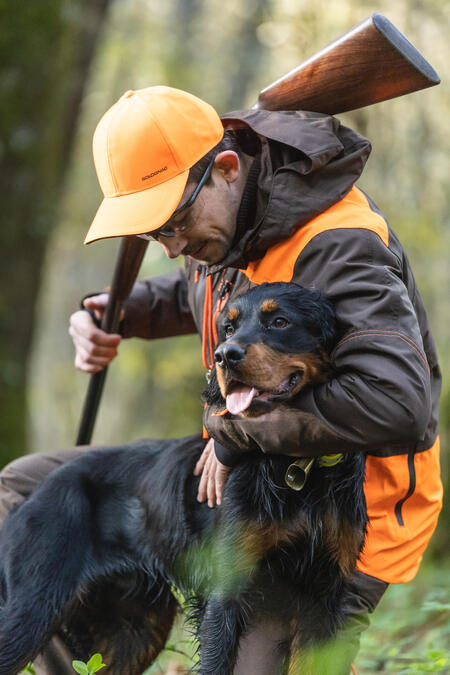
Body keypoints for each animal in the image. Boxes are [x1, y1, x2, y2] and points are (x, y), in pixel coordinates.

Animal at [0, 282, 366, 675]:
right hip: (34, 605)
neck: (295, 466)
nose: (224, 356)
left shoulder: (323, 598)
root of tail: (34, 496)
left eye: (280, 321)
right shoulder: (225, 589)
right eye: (229, 328)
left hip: (134, 629)